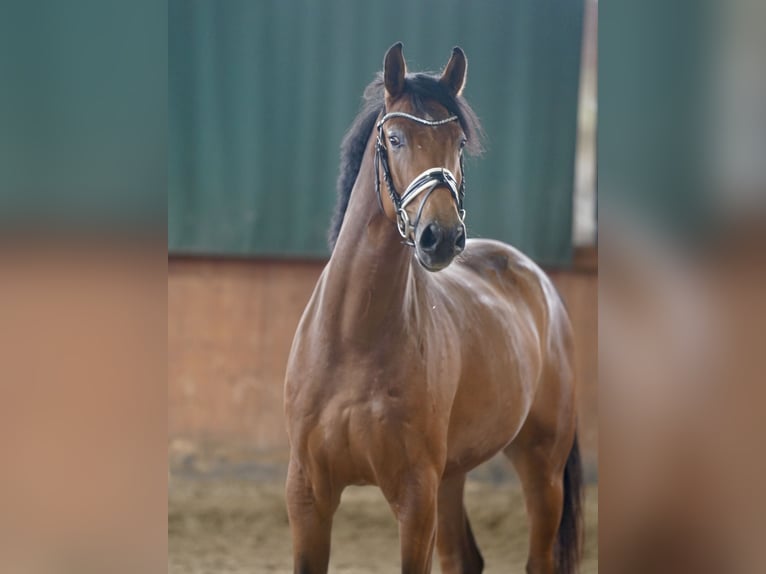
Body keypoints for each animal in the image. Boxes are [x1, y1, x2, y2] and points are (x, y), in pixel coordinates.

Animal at [284, 42, 582, 574]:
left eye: (458, 143)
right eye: (395, 138)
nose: (441, 237)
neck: (354, 339)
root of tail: (538, 281)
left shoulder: (415, 498)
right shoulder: (308, 496)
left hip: (541, 468)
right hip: (452, 475)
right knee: (464, 558)